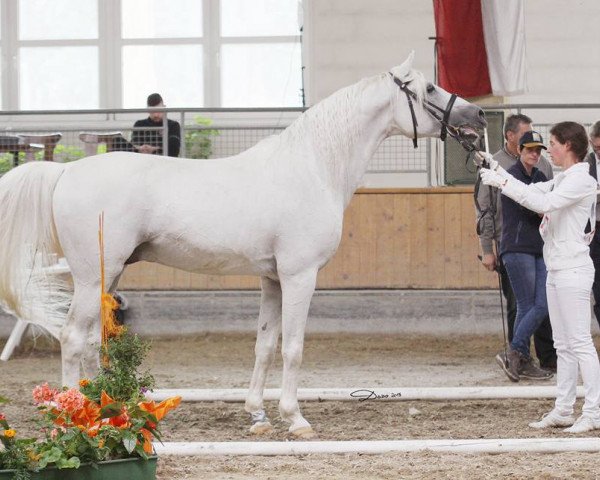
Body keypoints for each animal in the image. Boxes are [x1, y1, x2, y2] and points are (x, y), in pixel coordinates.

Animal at [0, 50, 482, 436]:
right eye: (429, 87)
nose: (476, 116)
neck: (313, 166)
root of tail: (65, 171)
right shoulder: (300, 276)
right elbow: (292, 348)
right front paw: (295, 419)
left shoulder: (272, 279)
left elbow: (265, 346)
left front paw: (258, 415)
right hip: (90, 276)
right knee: (71, 337)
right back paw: (76, 416)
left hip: (106, 274)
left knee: (90, 341)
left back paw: (107, 406)